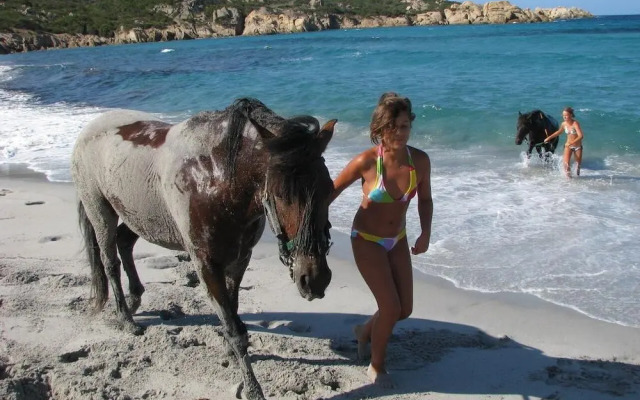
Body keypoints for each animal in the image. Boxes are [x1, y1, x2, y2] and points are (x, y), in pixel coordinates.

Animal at [71, 98, 336, 400]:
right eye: (281, 194)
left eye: (329, 188)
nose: (314, 279)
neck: (216, 180)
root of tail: (89, 129)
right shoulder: (205, 264)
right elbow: (233, 327)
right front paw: (252, 387)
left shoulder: (240, 258)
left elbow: (233, 311)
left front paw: (230, 352)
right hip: (99, 210)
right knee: (109, 261)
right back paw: (125, 317)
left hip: (137, 215)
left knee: (124, 244)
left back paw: (135, 297)